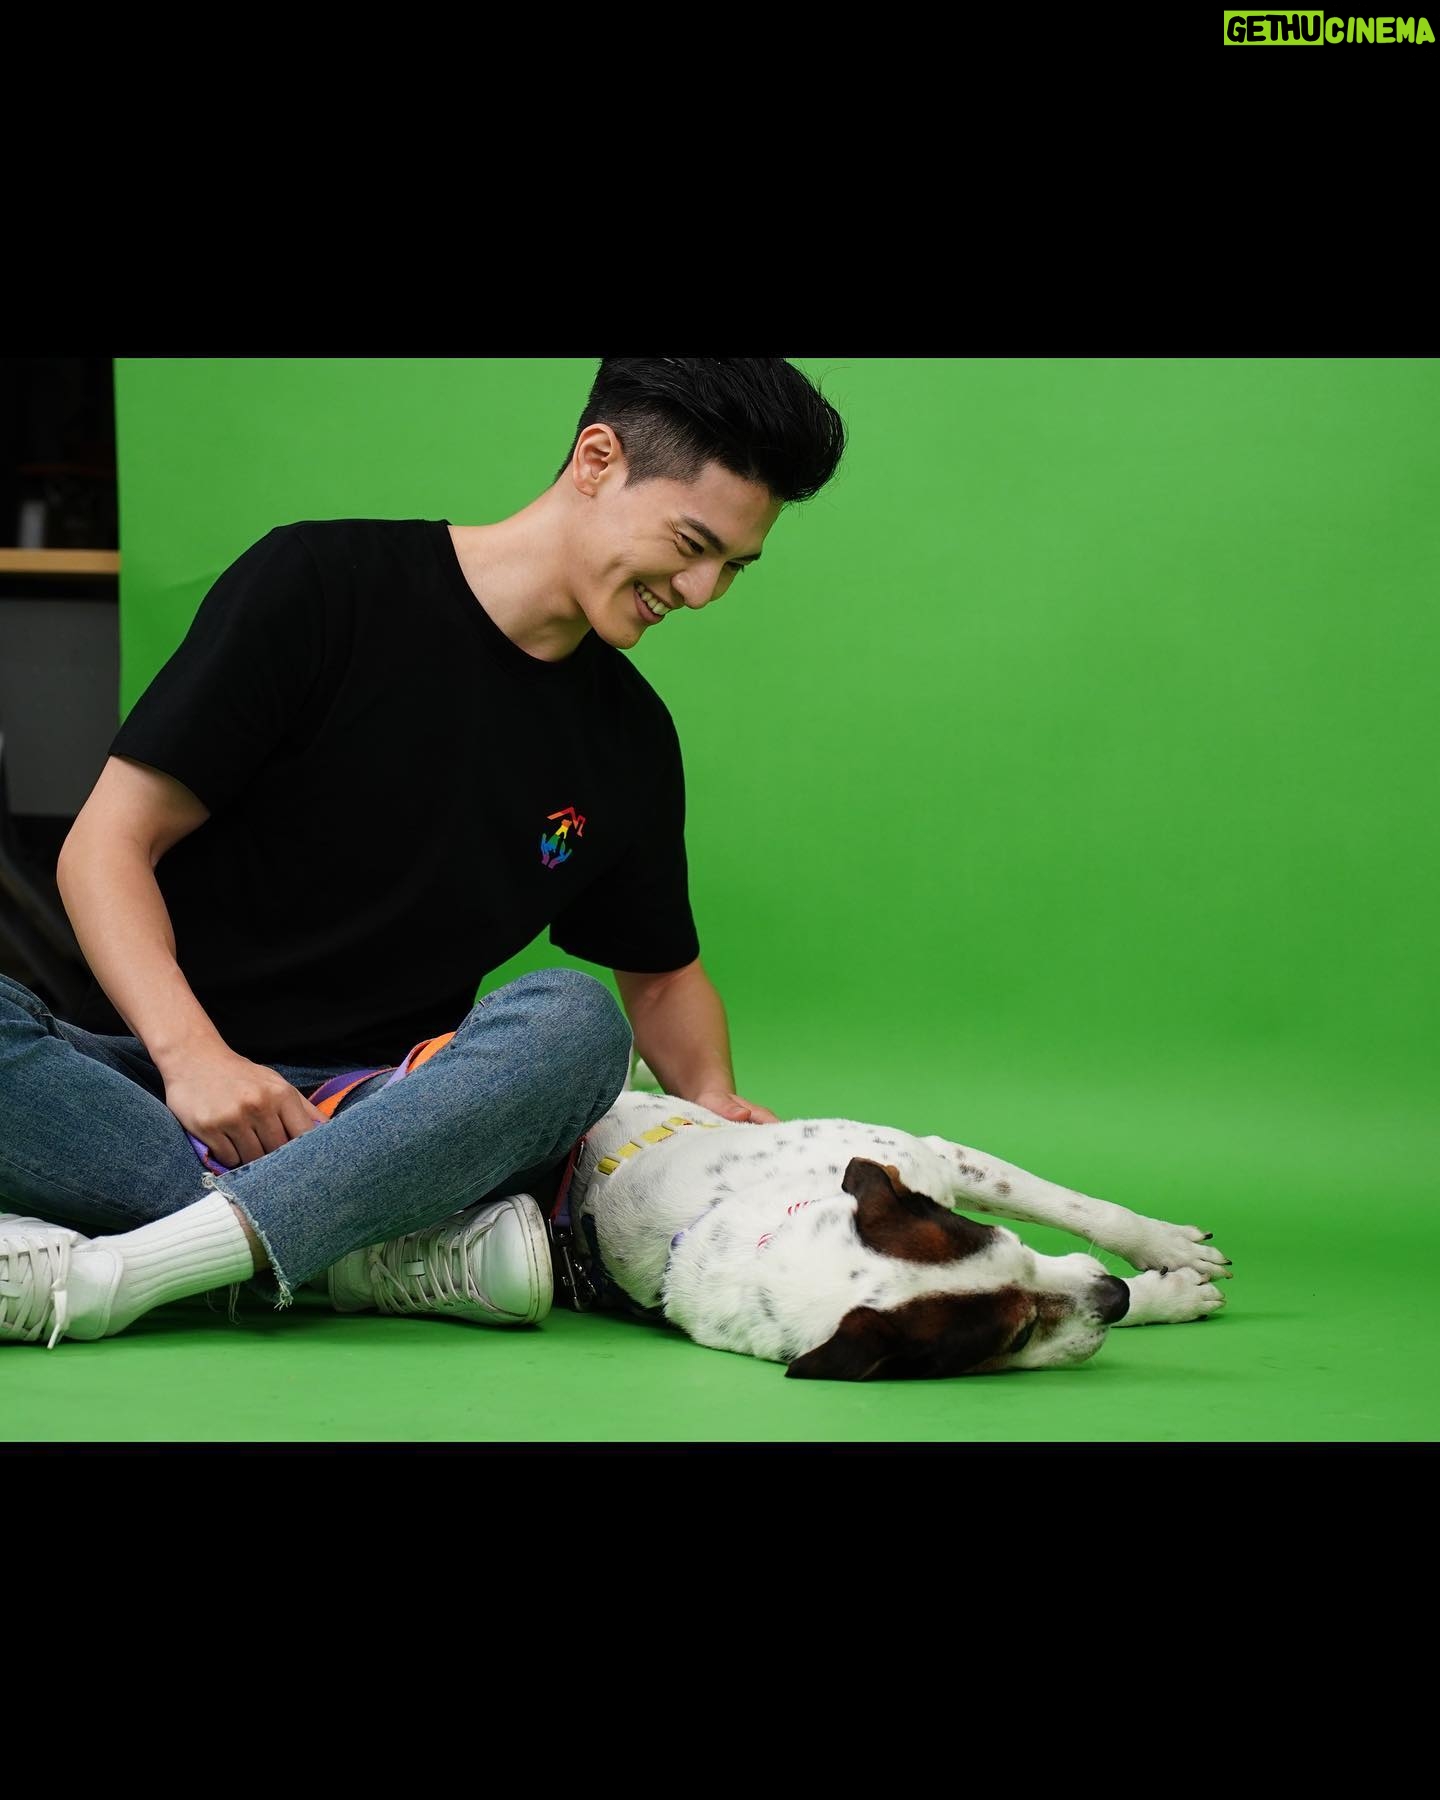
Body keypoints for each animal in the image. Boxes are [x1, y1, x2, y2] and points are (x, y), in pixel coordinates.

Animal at [563, 1065, 1231, 1380]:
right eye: (1016, 1338)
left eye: (1015, 1245)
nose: (1116, 1294)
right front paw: (1166, 1294)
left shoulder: (934, 1159)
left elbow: (1079, 1208)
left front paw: (1170, 1249)